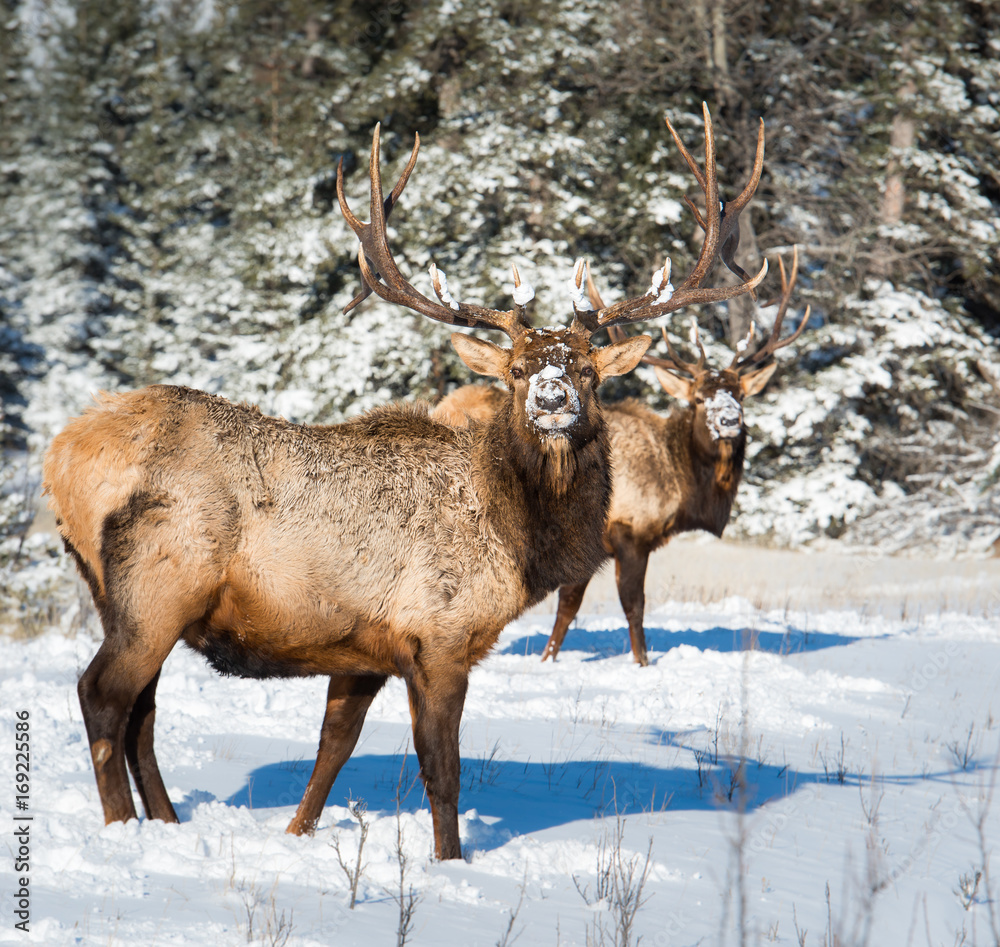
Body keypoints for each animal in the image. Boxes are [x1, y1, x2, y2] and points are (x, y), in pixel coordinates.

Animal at [42, 106, 765, 860]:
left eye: (591, 372)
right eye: (515, 370)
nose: (552, 398)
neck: (519, 538)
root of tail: (63, 456)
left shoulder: (362, 651)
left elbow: (332, 750)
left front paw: (299, 834)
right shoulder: (441, 635)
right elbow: (442, 770)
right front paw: (452, 861)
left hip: (127, 598)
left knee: (142, 713)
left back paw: (167, 822)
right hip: (157, 583)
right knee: (103, 696)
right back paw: (122, 828)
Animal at [435, 251, 809, 666]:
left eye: (741, 395)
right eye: (698, 398)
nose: (729, 421)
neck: (681, 483)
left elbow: (570, 606)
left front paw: (548, 658)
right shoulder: (628, 532)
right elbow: (629, 604)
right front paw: (640, 661)